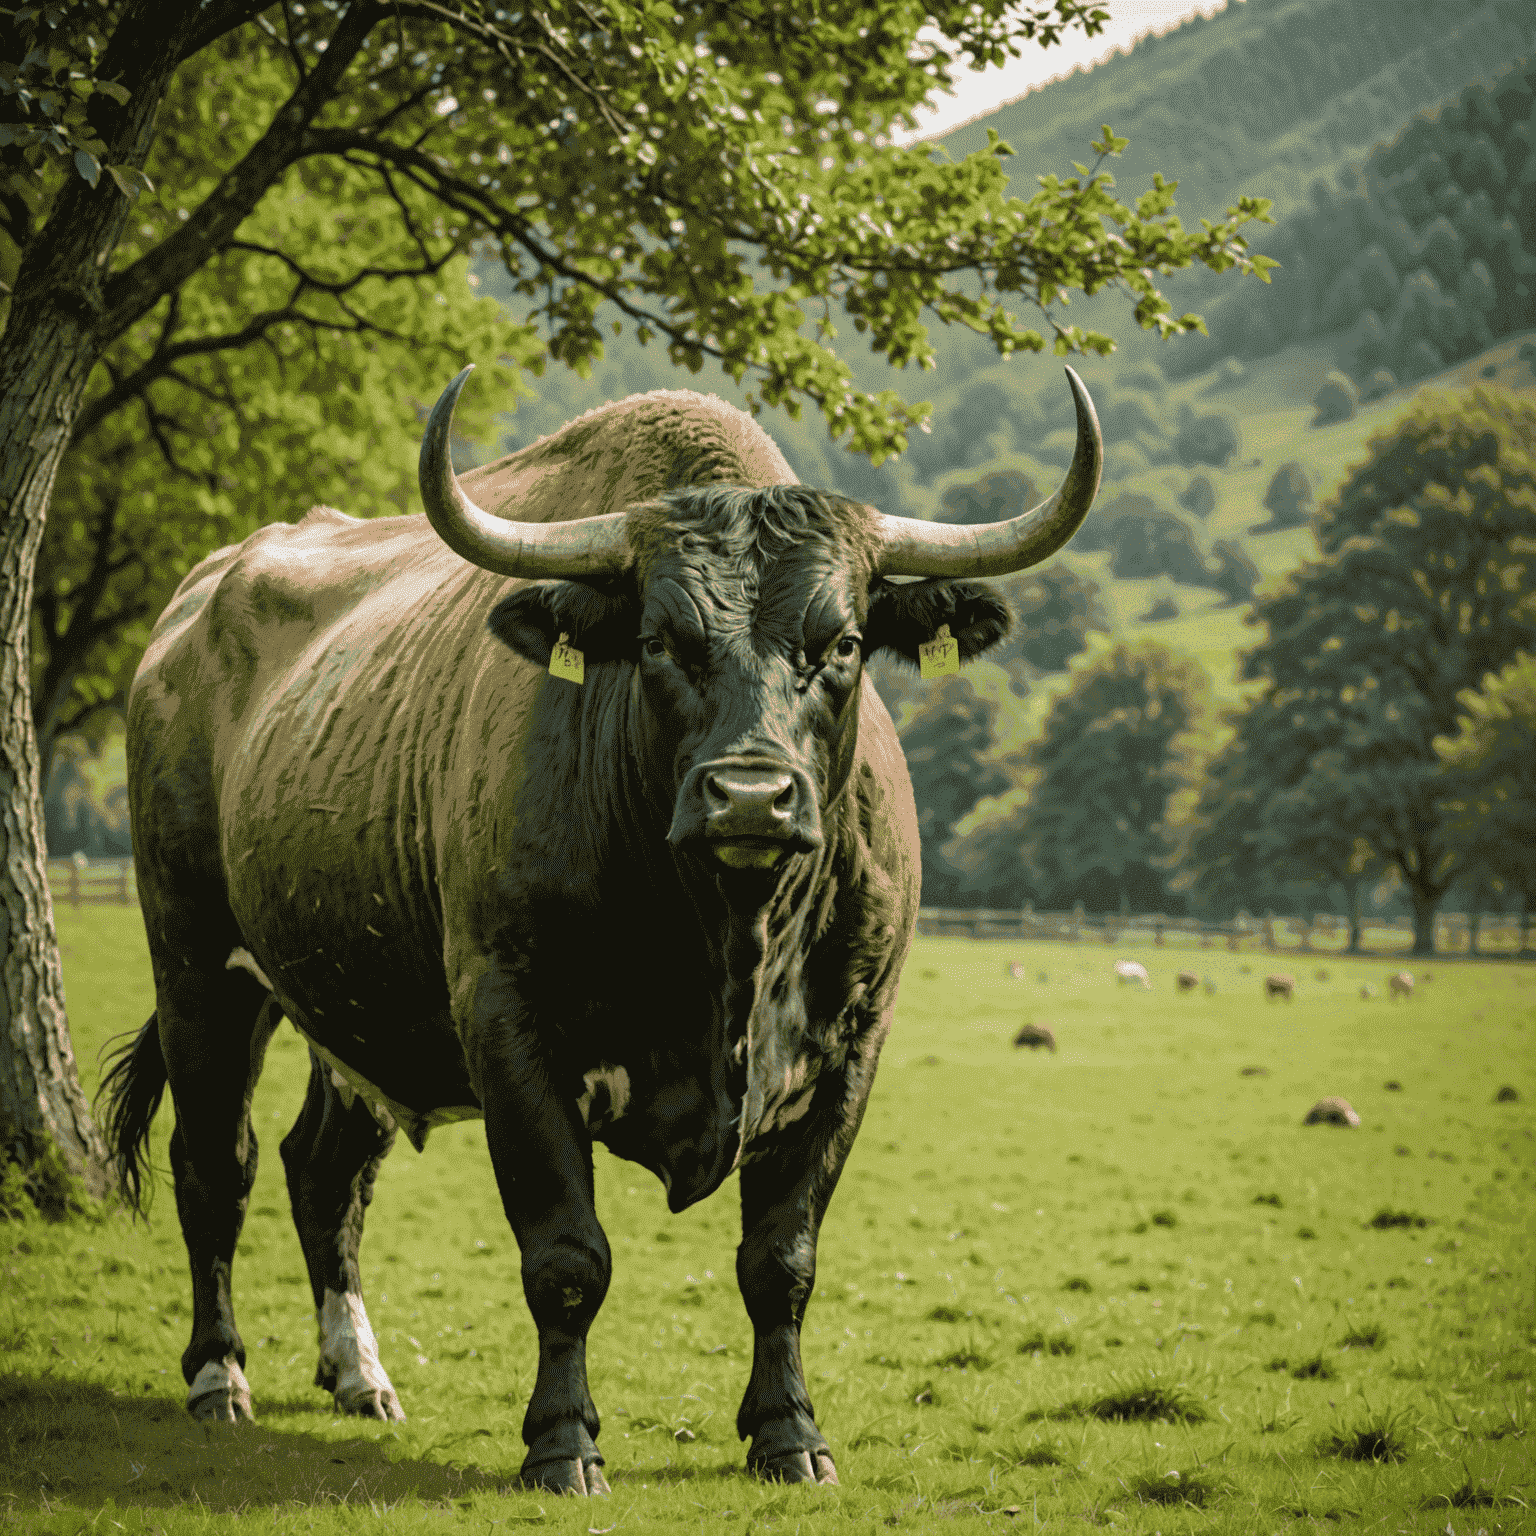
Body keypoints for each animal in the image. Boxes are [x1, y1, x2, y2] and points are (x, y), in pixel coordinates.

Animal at [99, 365, 1105, 1492]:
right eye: (661, 640)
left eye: (842, 642)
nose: (750, 798)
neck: (728, 945)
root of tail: (192, 610)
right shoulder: (510, 1027)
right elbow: (567, 1259)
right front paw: (562, 1442)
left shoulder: (850, 1048)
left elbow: (782, 1262)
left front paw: (789, 1432)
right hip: (198, 965)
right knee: (213, 1168)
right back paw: (217, 1376)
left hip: (354, 1007)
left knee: (324, 1175)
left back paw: (360, 1376)